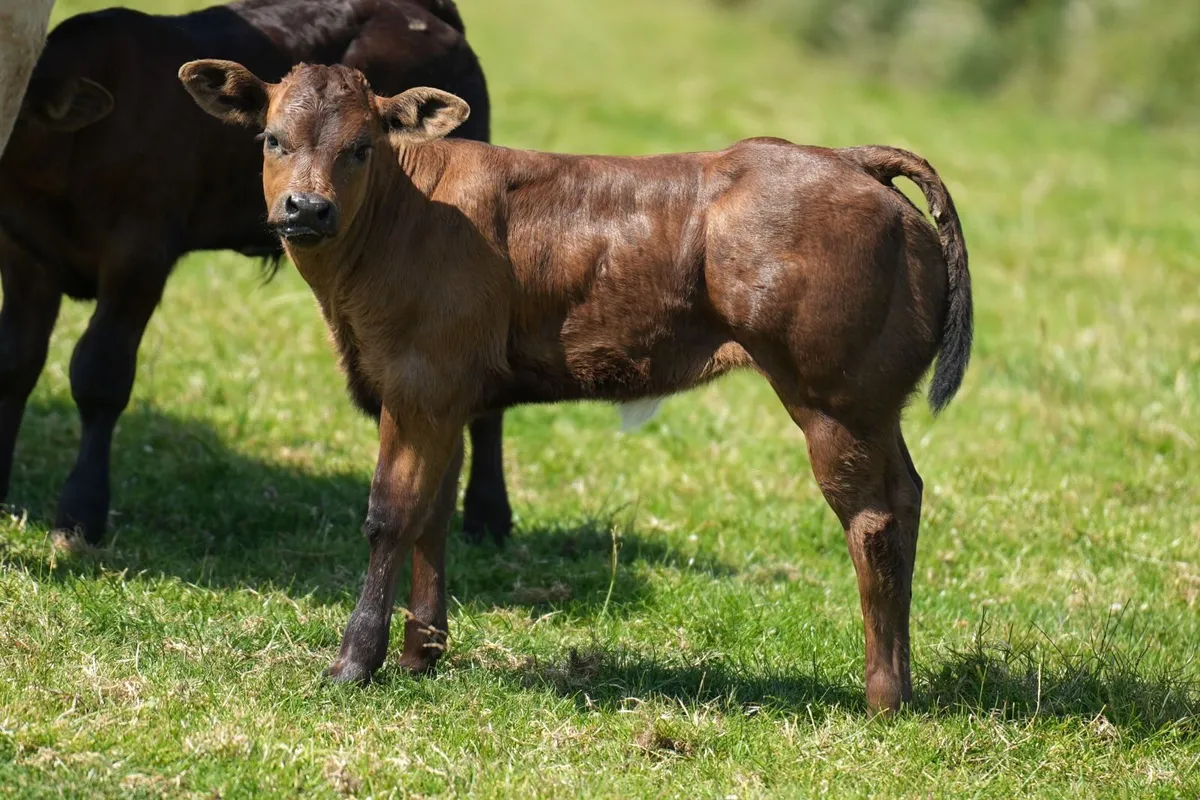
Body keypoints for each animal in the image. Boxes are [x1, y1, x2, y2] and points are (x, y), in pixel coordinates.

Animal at [0, 0, 515, 549]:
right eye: (271, 139)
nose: (306, 207)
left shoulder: (139, 254)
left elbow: (100, 375)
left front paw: (80, 513)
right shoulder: (24, 251)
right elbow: (17, 363)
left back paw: (487, 515)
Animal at [179, 60, 973, 714]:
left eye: (361, 147)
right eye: (272, 139)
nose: (306, 209)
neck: (403, 218)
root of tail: (848, 157)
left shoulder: (417, 380)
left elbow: (391, 516)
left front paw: (353, 664)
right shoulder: (443, 393)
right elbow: (434, 514)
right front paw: (419, 656)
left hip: (832, 396)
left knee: (871, 518)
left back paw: (881, 697)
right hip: (872, 405)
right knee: (907, 495)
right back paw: (901, 683)